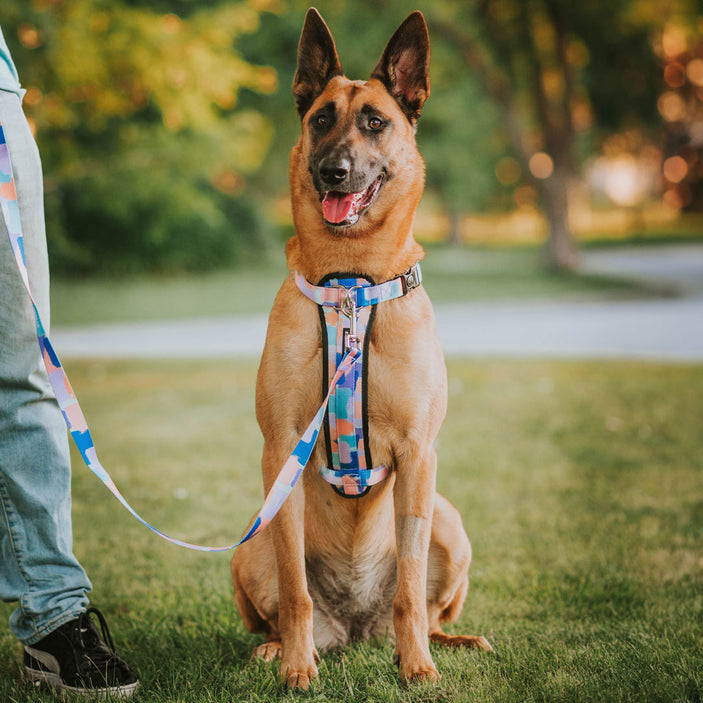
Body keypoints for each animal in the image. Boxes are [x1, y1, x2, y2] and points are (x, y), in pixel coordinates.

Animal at [231, 8, 490, 692]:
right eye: (321, 119)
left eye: (376, 122)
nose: (333, 172)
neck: (350, 280)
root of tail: (353, 628)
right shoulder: (280, 452)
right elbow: (295, 593)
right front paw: (296, 668)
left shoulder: (420, 457)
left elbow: (409, 592)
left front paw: (417, 667)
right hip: (254, 537)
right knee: (281, 607)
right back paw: (276, 650)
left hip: (447, 521)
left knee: (423, 605)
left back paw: (443, 642)